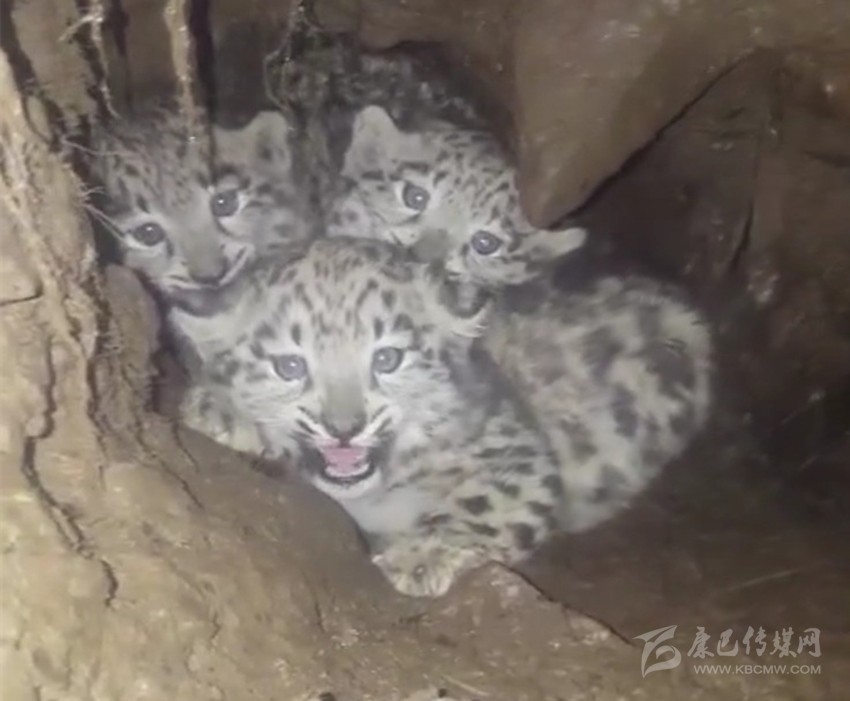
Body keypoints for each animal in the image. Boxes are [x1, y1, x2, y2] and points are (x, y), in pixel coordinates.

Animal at [190, 236, 569, 597]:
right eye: (290, 366)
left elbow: (490, 501)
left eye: (387, 358)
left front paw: (420, 559)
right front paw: (219, 412)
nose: (344, 429)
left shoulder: (514, 448)